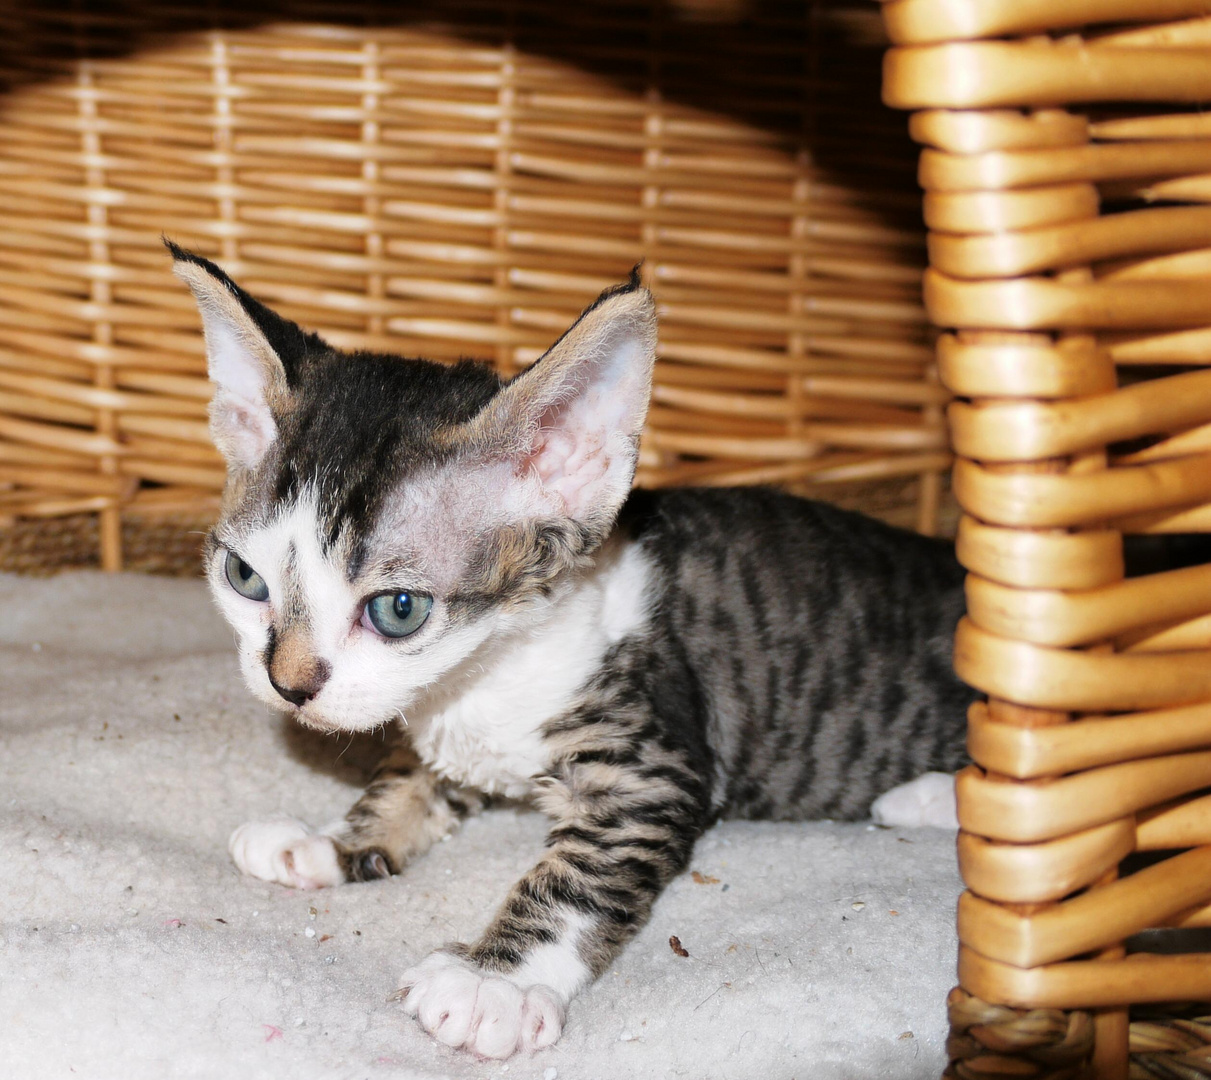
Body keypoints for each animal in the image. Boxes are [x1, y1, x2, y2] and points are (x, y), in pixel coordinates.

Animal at [170, 242, 968, 1055]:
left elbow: (577, 876)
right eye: (244, 578)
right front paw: (327, 843)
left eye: (398, 610)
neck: (490, 668)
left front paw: (492, 983)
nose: (287, 683)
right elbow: (403, 779)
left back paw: (924, 796)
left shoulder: (651, 766)